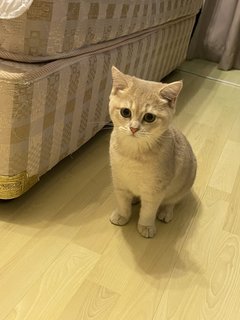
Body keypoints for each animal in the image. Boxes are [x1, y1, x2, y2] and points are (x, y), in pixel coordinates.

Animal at [109, 67, 197, 238]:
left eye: (149, 117)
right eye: (125, 112)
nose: (133, 128)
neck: (132, 154)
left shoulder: (155, 191)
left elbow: (148, 211)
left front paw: (146, 226)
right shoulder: (119, 181)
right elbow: (122, 202)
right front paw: (122, 215)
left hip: (183, 185)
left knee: (172, 202)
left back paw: (166, 212)